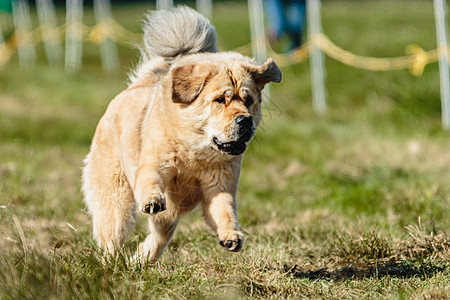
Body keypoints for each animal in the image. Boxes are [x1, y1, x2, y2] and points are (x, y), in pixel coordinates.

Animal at [81, 5, 282, 262]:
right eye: (220, 100)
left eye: (248, 101)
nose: (245, 120)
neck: (194, 153)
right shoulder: (155, 164)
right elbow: (151, 180)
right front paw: (153, 200)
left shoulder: (219, 186)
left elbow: (225, 211)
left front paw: (232, 236)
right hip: (116, 201)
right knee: (112, 236)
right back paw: (113, 264)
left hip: (165, 220)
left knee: (158, 239)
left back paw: (140, 262)